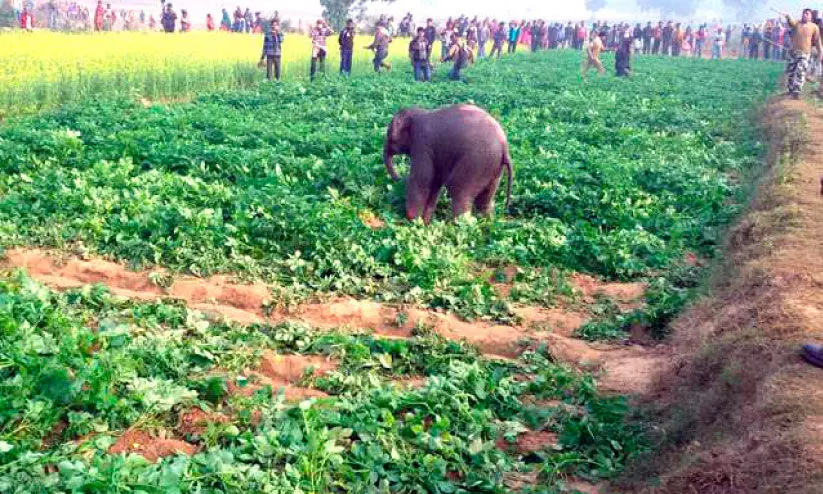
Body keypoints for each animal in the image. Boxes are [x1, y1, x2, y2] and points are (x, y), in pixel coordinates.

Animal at [384, 104, 512, 224]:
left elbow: (422, 181)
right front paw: (424, 222)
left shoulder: (422, 144)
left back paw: (458, 225)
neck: (420, 112)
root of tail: (504, 146)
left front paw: (414, 222)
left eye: (389, 136)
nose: (400, 178)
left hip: (476, 162)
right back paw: (486, 222)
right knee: (485, 199)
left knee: (458, 191)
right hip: (493, 168)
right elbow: (435, 182)